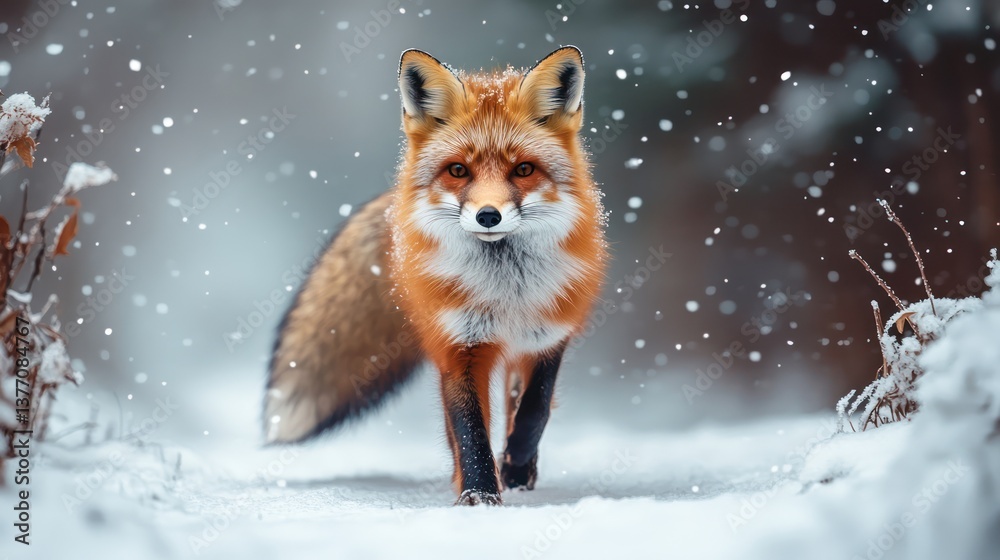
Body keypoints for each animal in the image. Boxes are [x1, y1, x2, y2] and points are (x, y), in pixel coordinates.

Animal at [265, 46, 608, 506]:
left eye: (523, 170)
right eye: (458, 171)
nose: (488, 215)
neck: (505, 292)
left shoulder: (548, 337)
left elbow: (534, 410)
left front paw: (515, 464)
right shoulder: (458, 344)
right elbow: (469, 428)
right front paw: (479, 492)